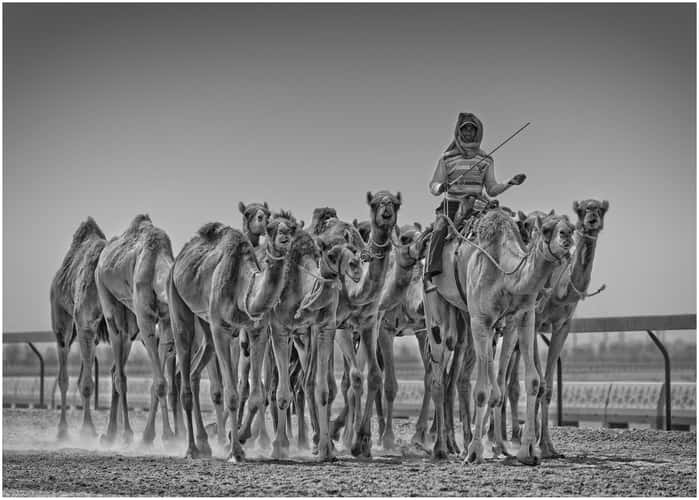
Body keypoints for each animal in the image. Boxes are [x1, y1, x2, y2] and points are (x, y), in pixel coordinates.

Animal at [50, 217, 109, 439]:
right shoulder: (85, 323)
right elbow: (86, 384)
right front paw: (88, 430)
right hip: (62, 321)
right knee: (64, 375)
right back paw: (62, 431)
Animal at [94, 214, 178, 446]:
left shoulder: (166, 320)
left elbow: (159, 382)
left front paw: (155, 436)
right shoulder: (145, 319)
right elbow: (160, 383)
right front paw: (165, 437)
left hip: (129, 325)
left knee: (116, 369)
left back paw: (111, 433)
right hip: (107, 300)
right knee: (119, 375)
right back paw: (124, 434)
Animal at [168, 211, 299, 460]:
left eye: (292, 227)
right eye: (270, 228)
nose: (284, 238)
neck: (242, 286)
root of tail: (179, 259)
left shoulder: (257, 331)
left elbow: (256, 396)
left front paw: (237, 440)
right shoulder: (221, 329)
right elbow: (231, 395)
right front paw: (235, 453)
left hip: (205, 323)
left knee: (194, 371)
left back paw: (205, 444)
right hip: (177, 301)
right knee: (185, 374)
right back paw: (191, 449)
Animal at [319, 190, 401, 458]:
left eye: (396, 203)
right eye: (374, 203)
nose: (386, 213)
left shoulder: (369, 324)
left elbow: (373, 375)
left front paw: (362, 441)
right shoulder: (339, 327)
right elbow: (355, 377)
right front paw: (352, 441)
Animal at [426, 207, 574, 464]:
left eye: (571, 226)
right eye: (546, 229)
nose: (567, 236)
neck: (505, 276)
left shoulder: (522, 318)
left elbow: (531, 382)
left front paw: (527, 452)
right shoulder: (480, 320)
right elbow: (481, 391)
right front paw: (474, 453)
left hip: (467, 317)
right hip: (435, 306)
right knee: (439, 376)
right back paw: (441, 449)